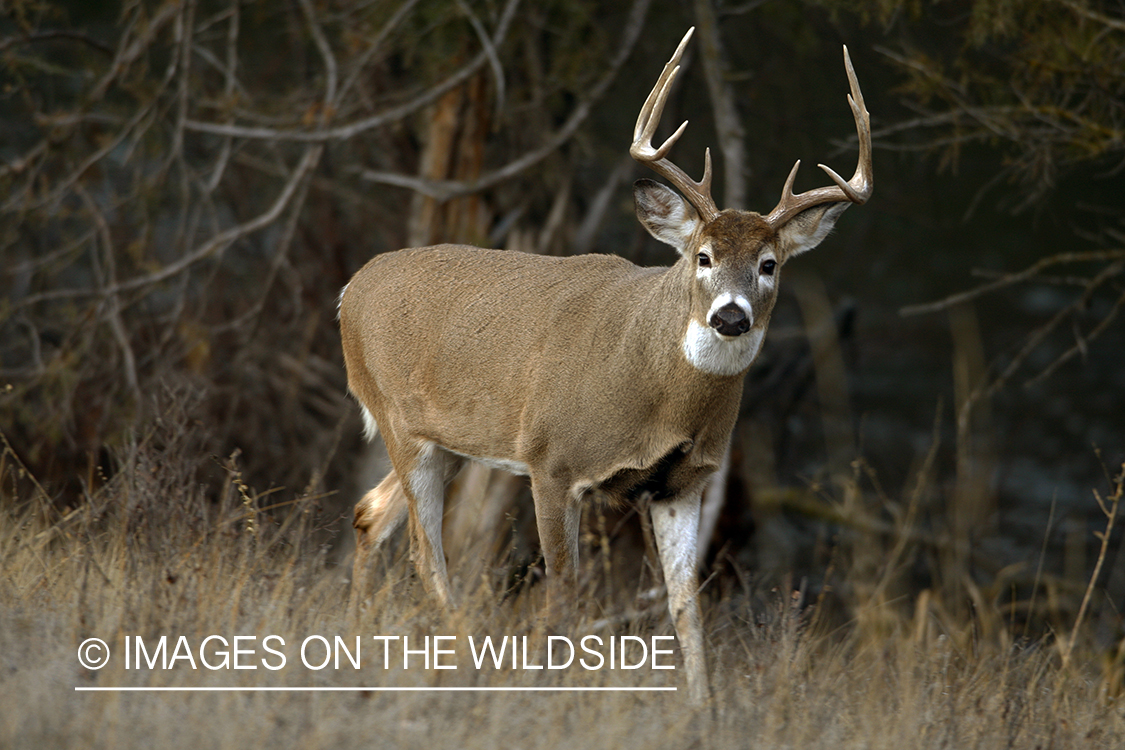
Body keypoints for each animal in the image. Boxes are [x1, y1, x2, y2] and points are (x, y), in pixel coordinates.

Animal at [337, 24, 873, 706]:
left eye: (770, 264)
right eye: (702, 256)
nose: (731, 316)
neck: (653, 395)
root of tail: (350, 290)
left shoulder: (682, 483)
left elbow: (685, 608)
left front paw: (703, 710)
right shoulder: (552, 460)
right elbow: (563, 596)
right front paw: (554, 693)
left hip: (449, 441)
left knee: (370, 514)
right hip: (402, 424)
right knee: (426, 551)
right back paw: (462, 665)